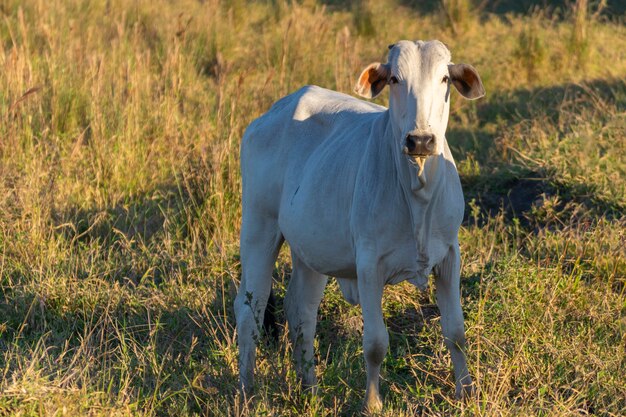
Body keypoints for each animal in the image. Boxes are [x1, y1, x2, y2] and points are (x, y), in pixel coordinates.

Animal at [234, 39, 482, 410]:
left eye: (444, 79)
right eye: (394, 79)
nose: (421, 140)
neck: (418, 191)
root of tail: (272, 113)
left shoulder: (450, 256)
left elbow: (456, 333)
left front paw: (465, 393)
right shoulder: (369, 266)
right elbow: (376, 343)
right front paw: (372, 403)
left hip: (310, 250)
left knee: (301, 310)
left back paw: (310, 389)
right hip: (257, 226)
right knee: (251, 307)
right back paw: (247, 391)